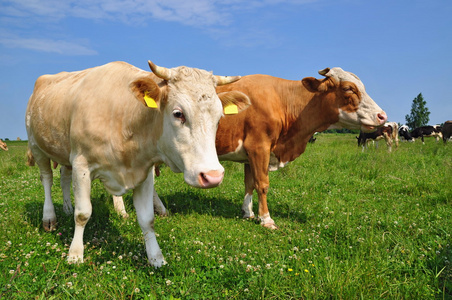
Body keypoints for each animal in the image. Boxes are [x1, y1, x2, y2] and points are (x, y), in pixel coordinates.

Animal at [25, 61, 251, 268]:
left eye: (219, 117)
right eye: (178, 113)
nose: (213, 176)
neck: (123, 116)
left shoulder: (144, 172)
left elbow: (147, 219)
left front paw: (156, 257)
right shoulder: (81, 164)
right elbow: (83, 214)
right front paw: (74, 254)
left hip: (64, 152)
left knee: (63, 177)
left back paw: (66, 207)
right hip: (37, 146)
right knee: (47, 179)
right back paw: (49, 217)